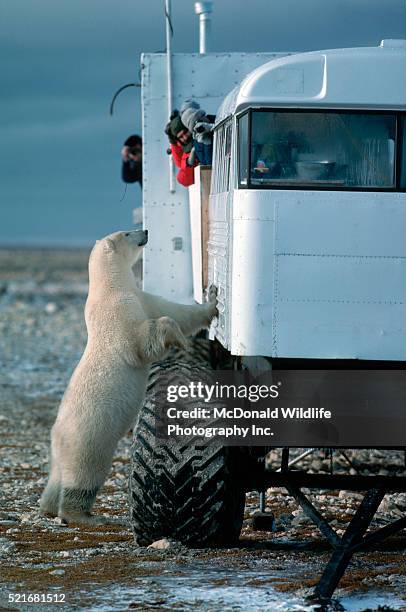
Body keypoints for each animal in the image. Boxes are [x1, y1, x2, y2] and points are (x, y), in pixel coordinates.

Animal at [40, 230, 219, 524]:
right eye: (126, 232)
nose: (145, 232)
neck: (111, 286)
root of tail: (57, 437)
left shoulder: (142, 298)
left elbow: (177, 312)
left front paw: (212, 301)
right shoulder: (119, 313)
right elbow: (144, 340)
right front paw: (179, 340)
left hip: (62, 449)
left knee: (56, 479)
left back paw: (49, 506)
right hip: (88, 438)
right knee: (84, 473)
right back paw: (84, 515)